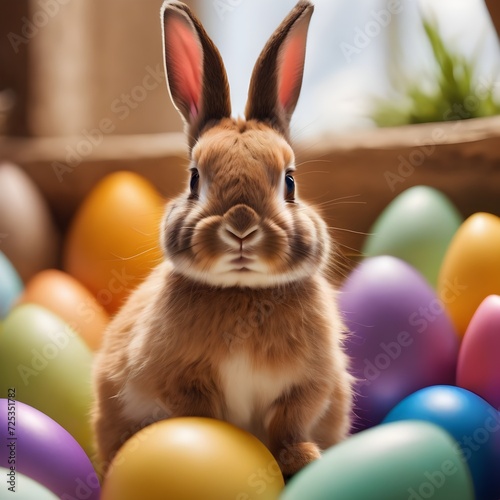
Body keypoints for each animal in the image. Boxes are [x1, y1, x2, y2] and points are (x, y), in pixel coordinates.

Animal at [92, 0, 354, 476]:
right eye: (195, 179)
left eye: (290, 182)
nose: (241, 226)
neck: (242, 291)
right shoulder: (179, 378)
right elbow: (203, 413)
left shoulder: (309, 384)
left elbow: (290, 422)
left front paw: (301, 459)